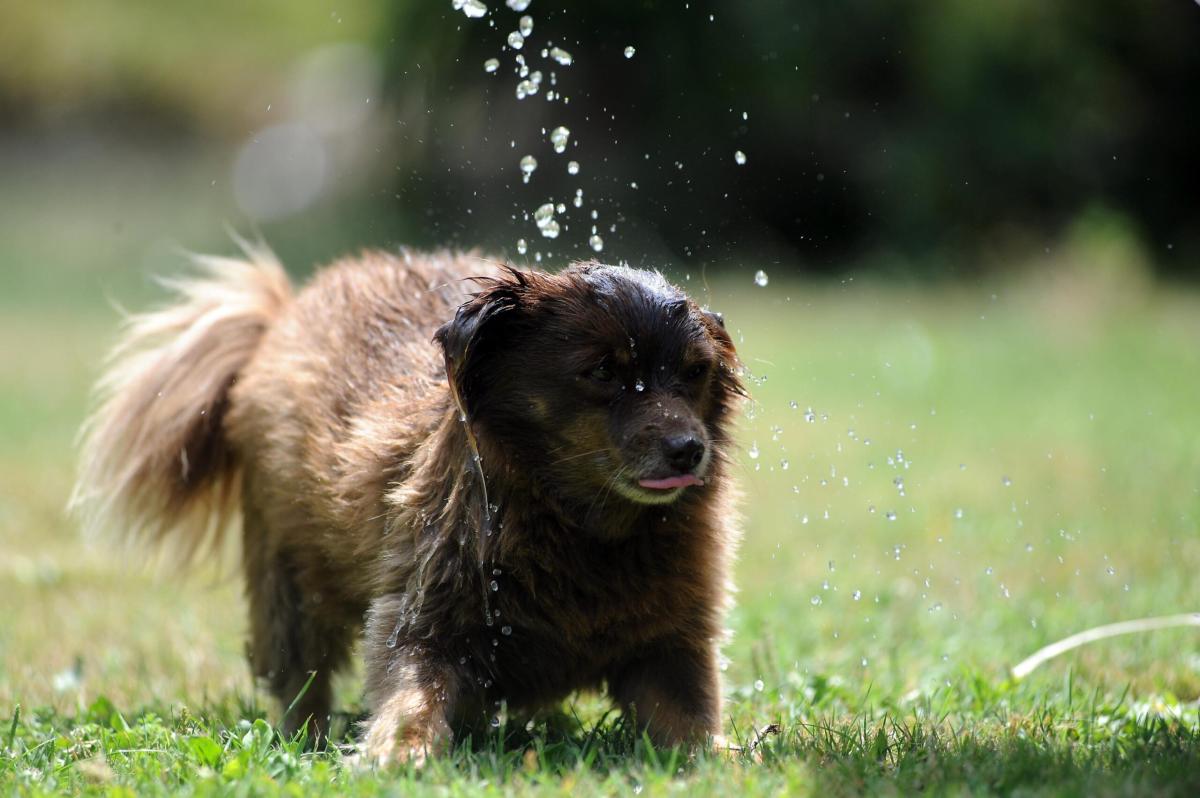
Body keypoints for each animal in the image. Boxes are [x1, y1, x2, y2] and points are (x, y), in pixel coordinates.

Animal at [72, 246, 739, 763]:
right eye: (602, 370)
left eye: (694, 372)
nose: (689, 449)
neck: (581, 529)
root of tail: (284, 309)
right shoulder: (423, 612)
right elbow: (413, 691)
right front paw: (399, 751)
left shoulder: (670, 644)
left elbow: (692, 723)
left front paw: (723, 758)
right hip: (288, 580)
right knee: (301, 679)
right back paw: (307, 739)